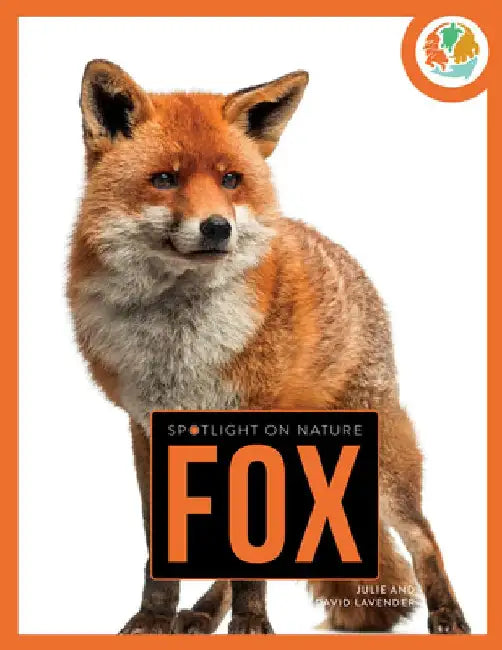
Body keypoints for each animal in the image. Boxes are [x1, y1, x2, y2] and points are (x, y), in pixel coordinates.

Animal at [67, 59, 470, 635]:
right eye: (164, 180)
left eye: (230, 180)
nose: (218, 228)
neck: (178, 346)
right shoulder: (145, 430)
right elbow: (160, 549)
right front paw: (153, 619)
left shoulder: (249, 421)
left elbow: (250, 565)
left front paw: (252, 624)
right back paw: (203, 613)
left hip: (381, 460)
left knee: (424, 537)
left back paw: (448, 614)